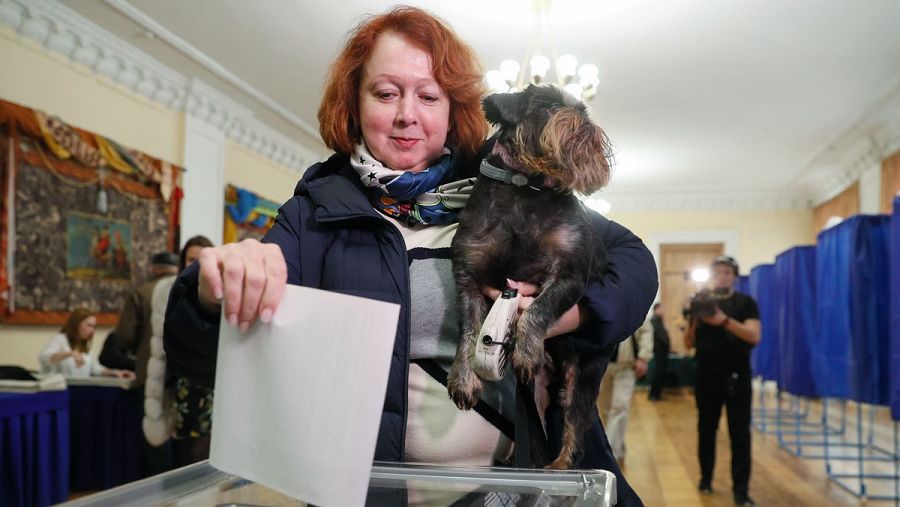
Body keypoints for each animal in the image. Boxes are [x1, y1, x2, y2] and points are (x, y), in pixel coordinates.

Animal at [448, 85, 612, 470]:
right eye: (550, 107)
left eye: (583, 110)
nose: (583, 119)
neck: (527, 185)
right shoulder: (467, 278)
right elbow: (468, 331)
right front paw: (463, 379)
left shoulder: (569, 276)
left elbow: (538, 310)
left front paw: (525, 350)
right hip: (537, 393)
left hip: (583, 380)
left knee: (573, 431)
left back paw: (558, 467)